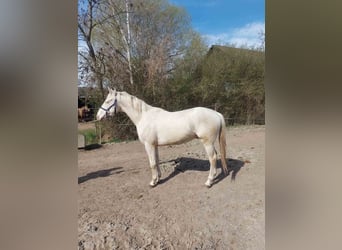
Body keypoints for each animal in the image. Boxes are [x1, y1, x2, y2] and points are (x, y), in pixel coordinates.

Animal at [96, 88, 228, 188]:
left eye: (108, 101)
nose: (98, 116)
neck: (143, 117)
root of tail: (216, 114)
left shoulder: (148, 145)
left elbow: (152, 163)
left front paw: (153, 182)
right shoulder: (154, 145)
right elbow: (157, 161)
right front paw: (158, 178)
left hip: (207, 143)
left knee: (213, 158)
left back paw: (209, 182)